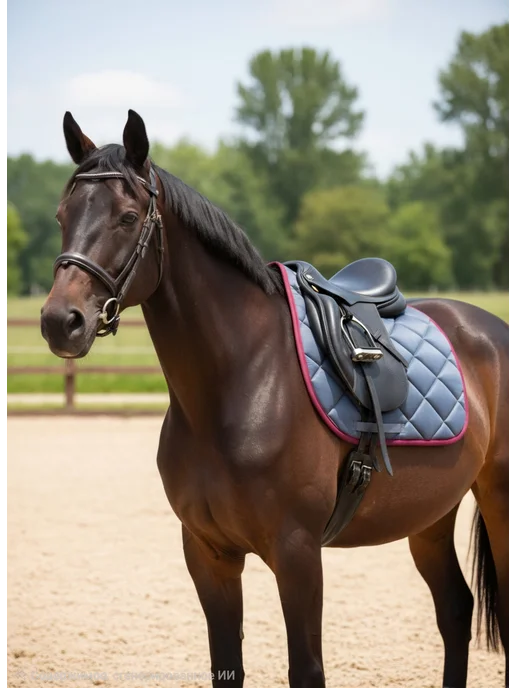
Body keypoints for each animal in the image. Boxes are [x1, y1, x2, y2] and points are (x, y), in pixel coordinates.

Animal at [40, 110, 511, 688]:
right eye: (62, 214)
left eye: (128, 217)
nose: (60, 322)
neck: (237, 384)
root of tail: (492, 329)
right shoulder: (208, 553)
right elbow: (227, 665)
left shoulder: (297, 553)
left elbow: (306, 669)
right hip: (430, 514)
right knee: (455, 609)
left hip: (499, 500)